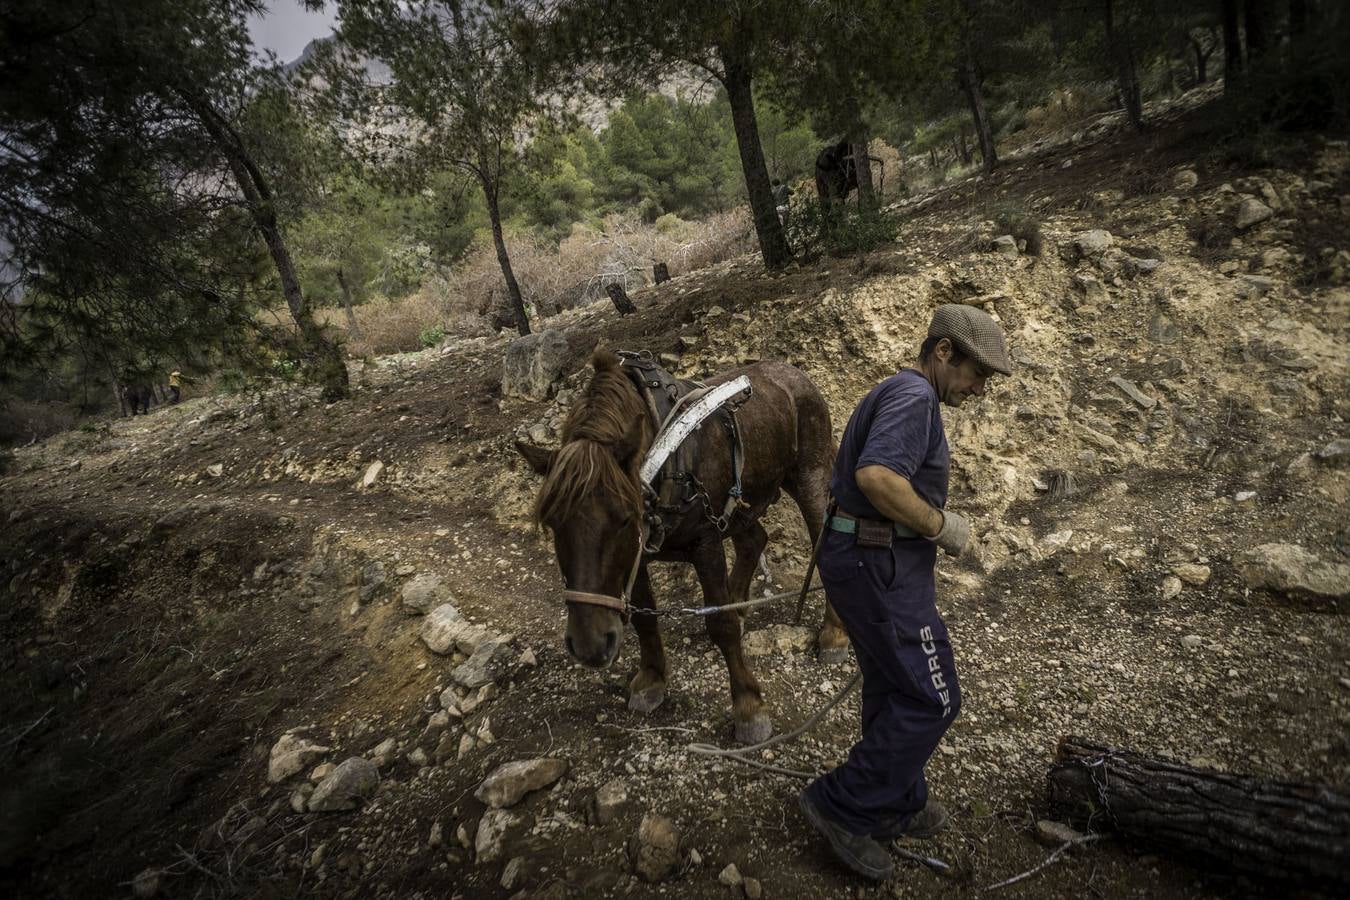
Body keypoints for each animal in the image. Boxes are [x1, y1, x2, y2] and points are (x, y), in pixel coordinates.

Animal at [521, 348, 847, 744]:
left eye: (624, 519)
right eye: (552, 523)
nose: (591, 646)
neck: (661, 461)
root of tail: (795, 374)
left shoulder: (704, 541)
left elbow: (721, 624)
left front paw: (749, 707)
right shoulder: (637, 556)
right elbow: (645, 617)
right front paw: (651, 679)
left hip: (808, 476)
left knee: (821, 543)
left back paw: (833, 634)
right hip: (744, 500)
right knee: (754, 540)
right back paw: (741, 603)